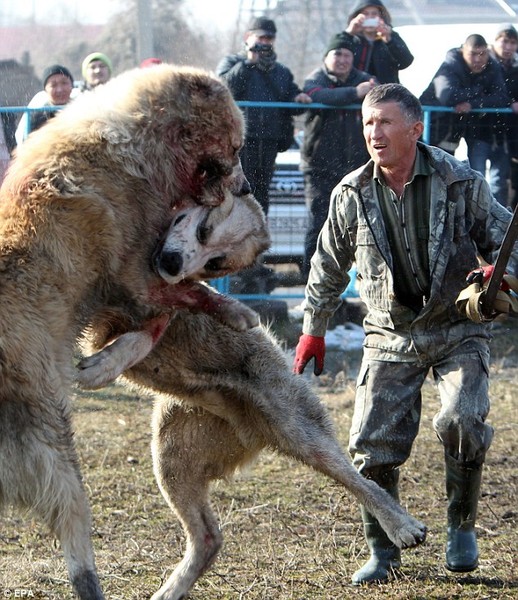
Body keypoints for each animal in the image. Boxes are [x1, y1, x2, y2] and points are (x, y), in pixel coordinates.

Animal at [0, 63, 270, 596]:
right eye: (233, 149)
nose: (247, 186)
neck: (139, 147)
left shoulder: (134, 282)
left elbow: (158, 321)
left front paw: (107, 363)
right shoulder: (136, 273)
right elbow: (184, 297)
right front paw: (236, 312)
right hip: (55, 449)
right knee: (76, 533)